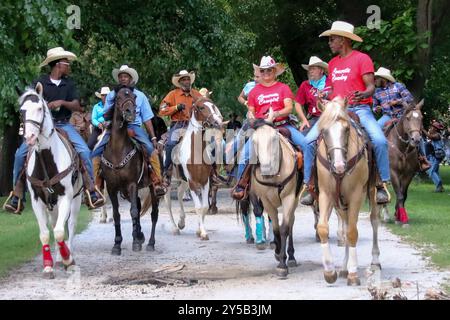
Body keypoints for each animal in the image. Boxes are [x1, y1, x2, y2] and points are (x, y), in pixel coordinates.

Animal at [20, 82, 82, 278]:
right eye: (21, 111)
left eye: (40, 108)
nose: (30, 138)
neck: (46, 160)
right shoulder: (37, 200)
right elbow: (46, 233)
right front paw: (48, 266)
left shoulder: (66, 198)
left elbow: (61, 232)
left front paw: (69, 260)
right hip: (51, 205)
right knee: (54, 224)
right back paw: (58, 258)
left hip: (76, 199)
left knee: (71, 225)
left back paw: (68, 255)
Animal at [102, 85, 160, 255]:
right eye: (118, 98)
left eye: (134, 97)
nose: (130, 112)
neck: (117, 151)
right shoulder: (112, 187)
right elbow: (116, 214)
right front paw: (117, 244)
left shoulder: (132, 184)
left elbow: (133, 211)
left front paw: (135, 243)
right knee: (140, 206)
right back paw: (140, 235)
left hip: (153, 189)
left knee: (153, 213)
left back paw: (150, 243)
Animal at [174, 96, 225, 239]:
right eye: (202, 107)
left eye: (213, 106)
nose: (218, 121)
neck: (195, 151)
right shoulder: (192, 183)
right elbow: (198, 207)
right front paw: (203, 232)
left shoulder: (205, 181)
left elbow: (205, 206)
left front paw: (199, 230)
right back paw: (175, 227)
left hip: (184, 182)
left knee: (179, 194)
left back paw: (181, 222)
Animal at [250, 110, 302, 278]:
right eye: (254, 140)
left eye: (274, 138)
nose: (266, 169)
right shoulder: (266, 200)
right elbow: (276, 229)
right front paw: (278, 253)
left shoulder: (289, 197)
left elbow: (284, 227)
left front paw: (282, 264)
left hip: (296, 198)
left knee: (291, 222)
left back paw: (291, 256)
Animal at [314, 97, 382, 284]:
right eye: (324, 131)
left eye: (346, 129)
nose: (339, 166)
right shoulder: (326, 194)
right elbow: (323, 228)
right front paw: (330, 271)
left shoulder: (356, 195)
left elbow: (352, 232)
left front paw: (353, 273)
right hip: (340, 202)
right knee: (345, 223)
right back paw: (343, 267)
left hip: (371, 192)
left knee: (373, 221)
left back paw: (374, 262)